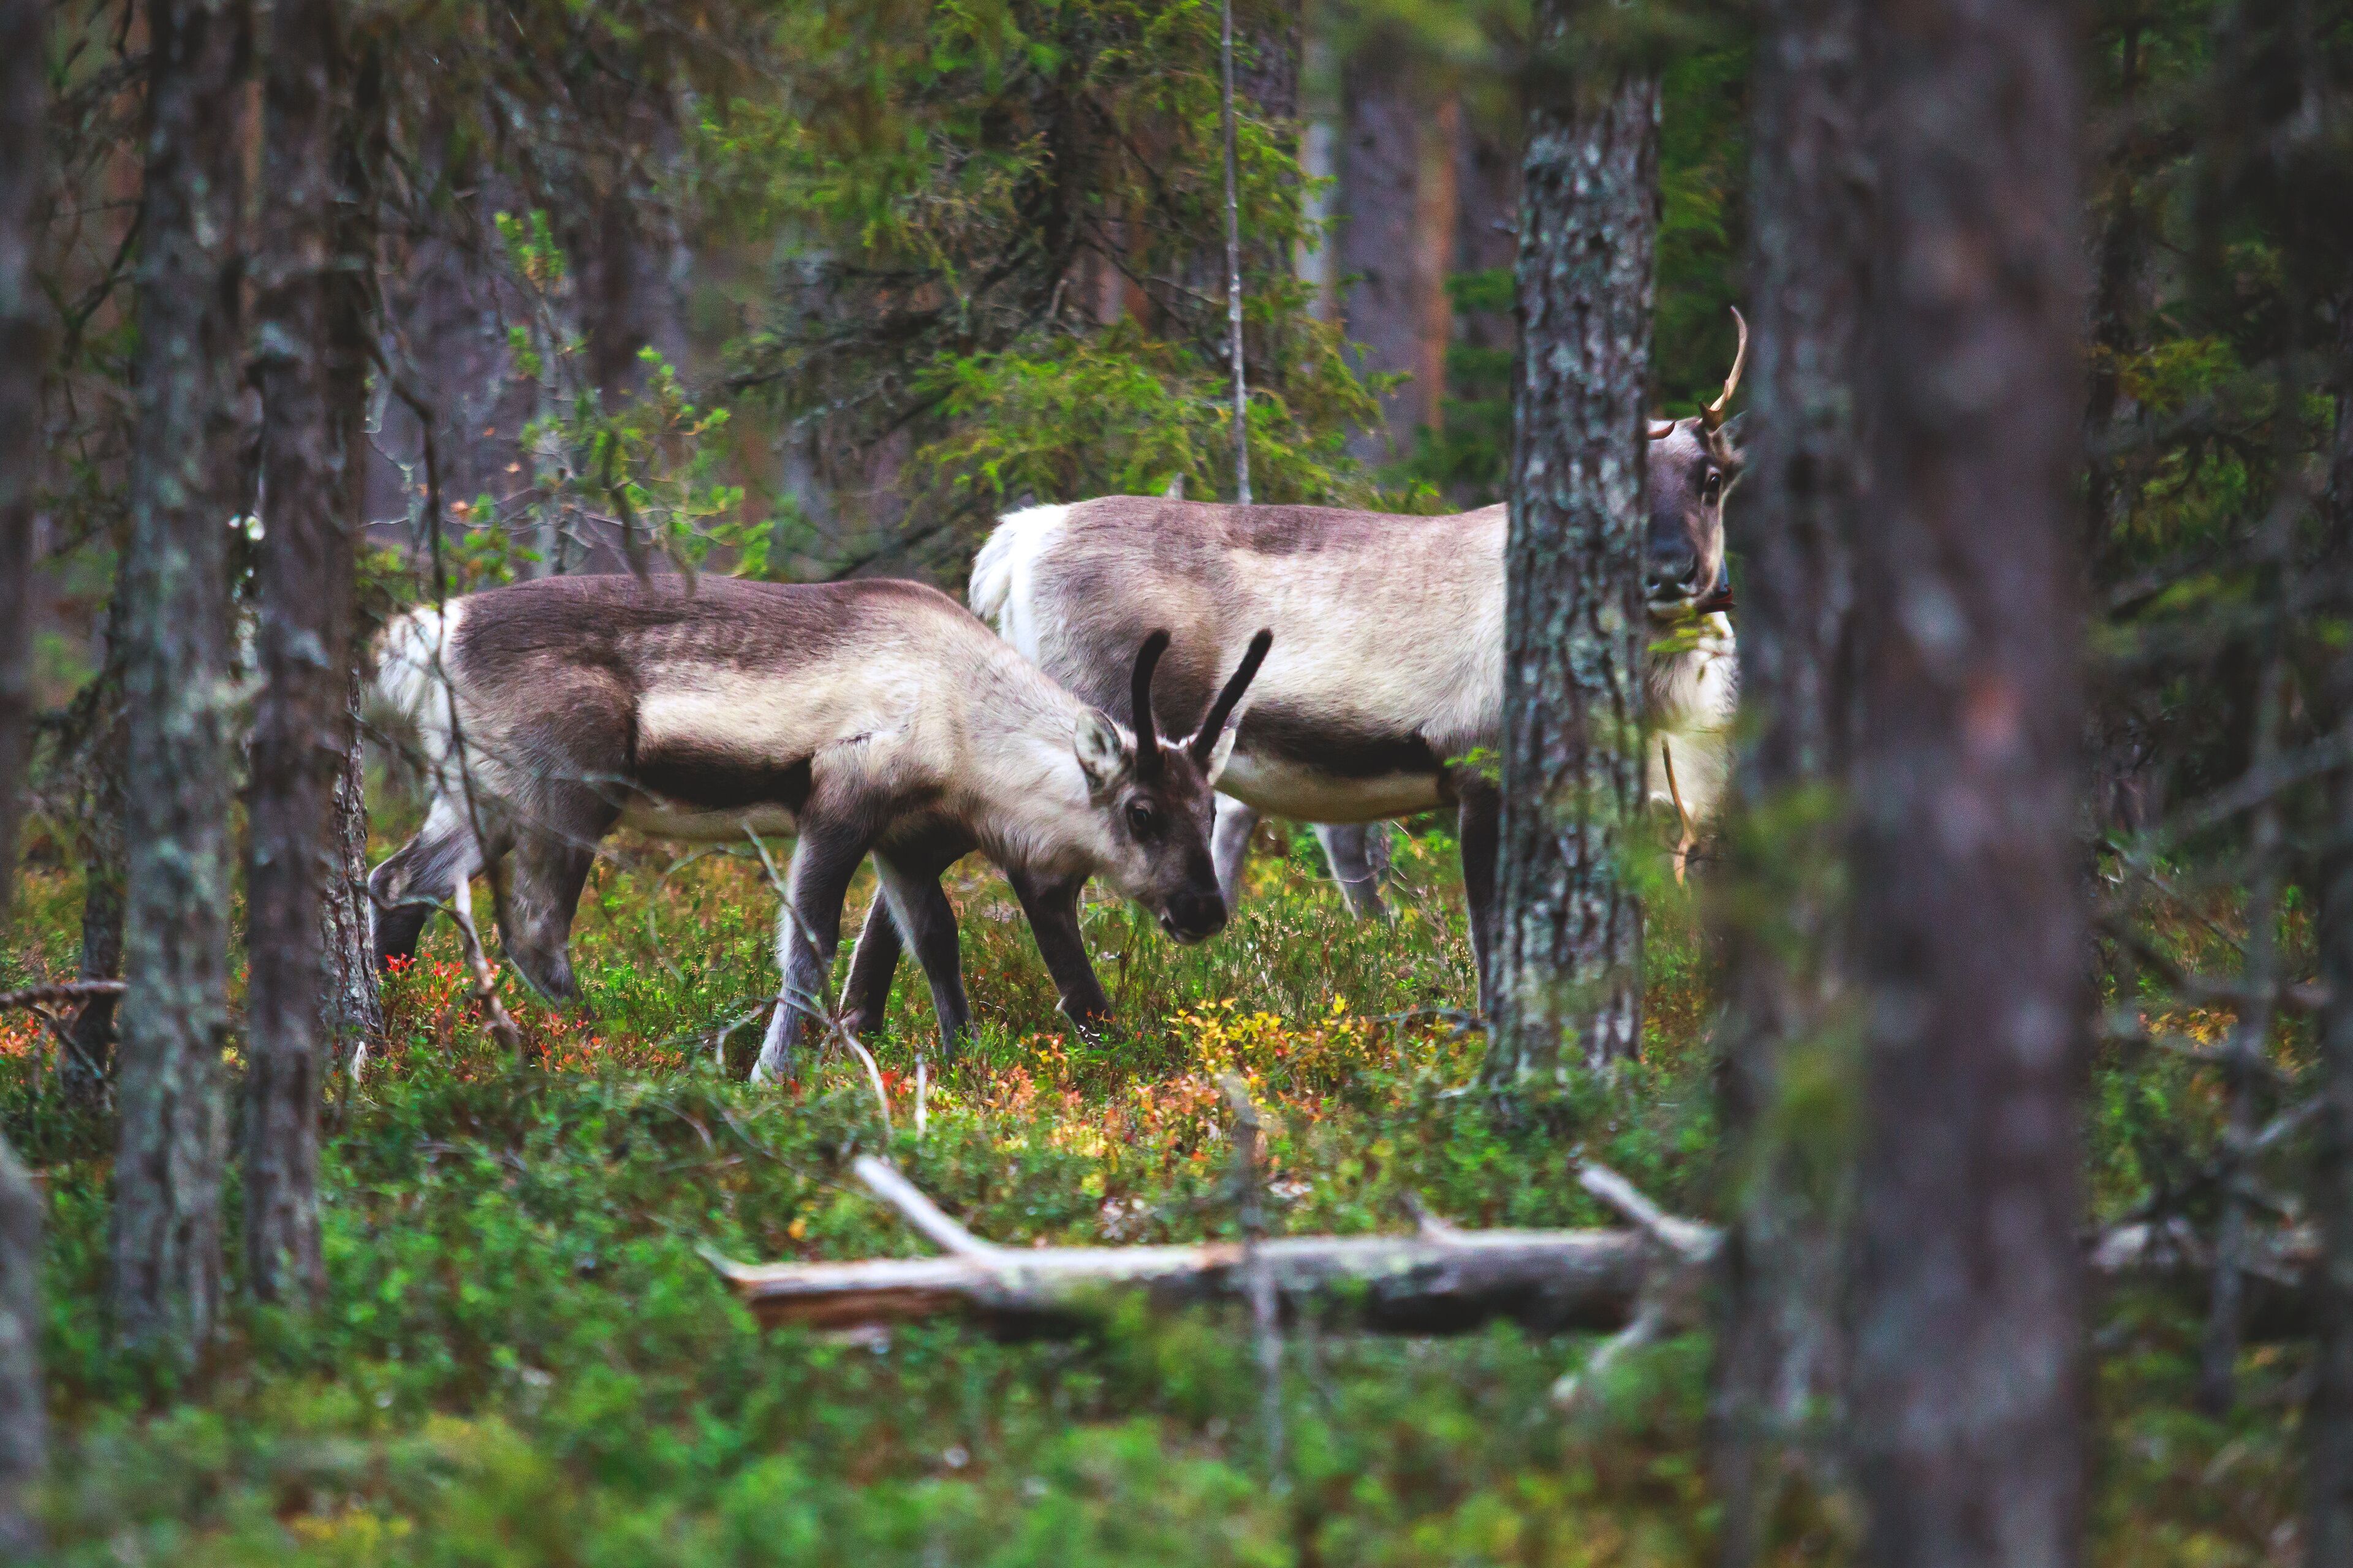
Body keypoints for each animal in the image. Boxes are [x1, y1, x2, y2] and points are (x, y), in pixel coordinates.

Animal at [365, 572, 1272, 1080]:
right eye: (1141, 812)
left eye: (1209, 806)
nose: (1203, 910)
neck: (964, 724)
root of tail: (425, 634)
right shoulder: (839, 803)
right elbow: (810, 945)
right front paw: (772, 1076)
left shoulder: (904, 843)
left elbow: (936, 943)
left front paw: (964, 1058)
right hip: (563, 793)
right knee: (534, 927)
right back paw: (609, 1046)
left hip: (479, 794)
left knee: (397, 878)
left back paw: (392, 1029)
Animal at [833, 315, 1746, 1026]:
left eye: (1711, 479)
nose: (1670, 574)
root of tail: (1021, 539)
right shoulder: (1482, 772)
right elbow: (1491, 937)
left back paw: (860, 1028)